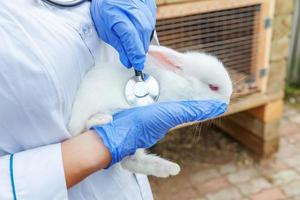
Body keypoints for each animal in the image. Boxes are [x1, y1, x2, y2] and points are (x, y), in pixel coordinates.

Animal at [67, 44, 232, 177]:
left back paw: (171, 169)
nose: (228, 100)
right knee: (84, 129)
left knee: (131, 161)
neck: (182, 84)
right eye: (213, 87)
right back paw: (102, 119)